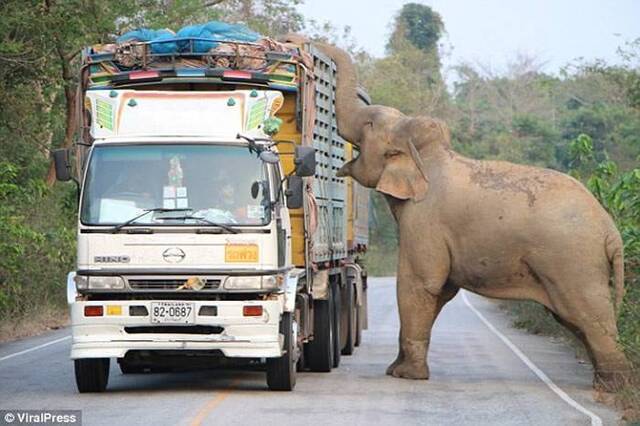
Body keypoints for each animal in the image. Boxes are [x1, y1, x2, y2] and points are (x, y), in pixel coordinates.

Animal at [316, 42, 632, 390]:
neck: (428, 154)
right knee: (577, 320)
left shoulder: (424, 219)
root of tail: (611, 230)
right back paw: (605, 384)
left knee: (590, 317)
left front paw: (407, 376)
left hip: (573, 261)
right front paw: (395, 369)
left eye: (369, 124)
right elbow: (442, 290)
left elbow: (420, 283)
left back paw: (614, 388)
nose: (302, 43)